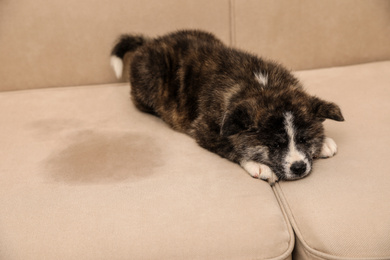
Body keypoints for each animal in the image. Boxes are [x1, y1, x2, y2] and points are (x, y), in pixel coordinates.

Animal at [110, 30, 344, 183]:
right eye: (275, 145)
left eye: (304, 139)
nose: (299, 167)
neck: (263, 86)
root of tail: (150, 43)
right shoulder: (205, 129)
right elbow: (231, 147)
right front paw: (259, 165)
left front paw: (324, 143)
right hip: (150, 80)